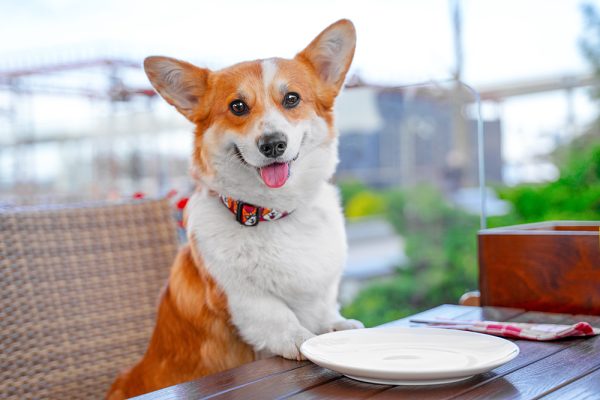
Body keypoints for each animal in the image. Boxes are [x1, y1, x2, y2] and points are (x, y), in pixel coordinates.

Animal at [106, 19, 360, 400]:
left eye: (292, 99)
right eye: (238, 106)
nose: (273, 144)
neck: (272, 212)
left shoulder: (321, 288)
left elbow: (323, 308)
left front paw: (336, 326)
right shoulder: (239, 294)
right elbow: (276, 315)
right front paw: (300, 338)